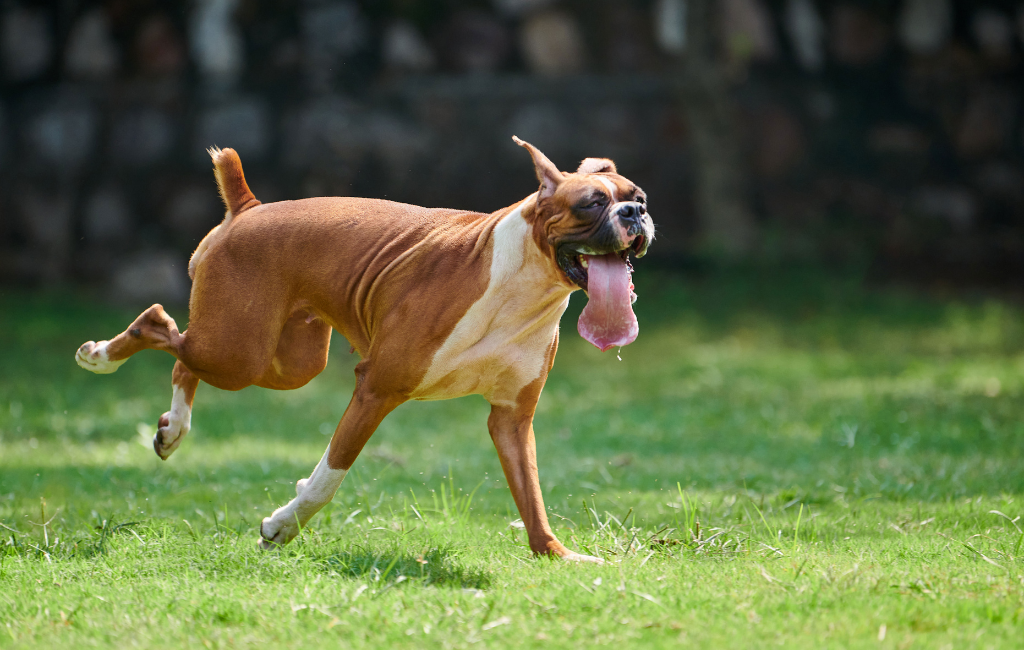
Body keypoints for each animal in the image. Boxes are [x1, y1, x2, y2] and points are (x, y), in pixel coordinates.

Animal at [77, 138, 655, 565]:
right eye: (592, 202)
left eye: (639, 198)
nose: (635, 212)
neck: (522, 281)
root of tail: (248, 208)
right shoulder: (375, 391)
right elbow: (327, 478)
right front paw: (283, 525)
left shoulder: (511, 419)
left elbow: (530, 494)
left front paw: (554, 554)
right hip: (237, 351)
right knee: (159, 324)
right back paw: (102, 356)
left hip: (287, 363)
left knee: (184, 358)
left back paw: (172, 429)